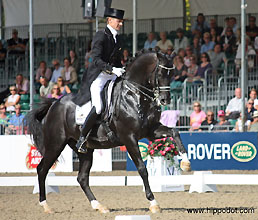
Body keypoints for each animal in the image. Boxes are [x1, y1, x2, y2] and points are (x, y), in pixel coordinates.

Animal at [26, 51, 190, 213]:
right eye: (160, 73)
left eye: (172, 74)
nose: (165, 100)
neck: (135, 95)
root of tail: (54, 103)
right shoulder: (129, 138)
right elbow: (142, 169)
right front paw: (153, 202)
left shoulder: (151, 131)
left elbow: (174, 132)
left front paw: (185, 163)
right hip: (56, 144)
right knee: (42, 169)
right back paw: (46, 206)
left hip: (85, 150)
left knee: (82, 178)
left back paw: (99, 206)